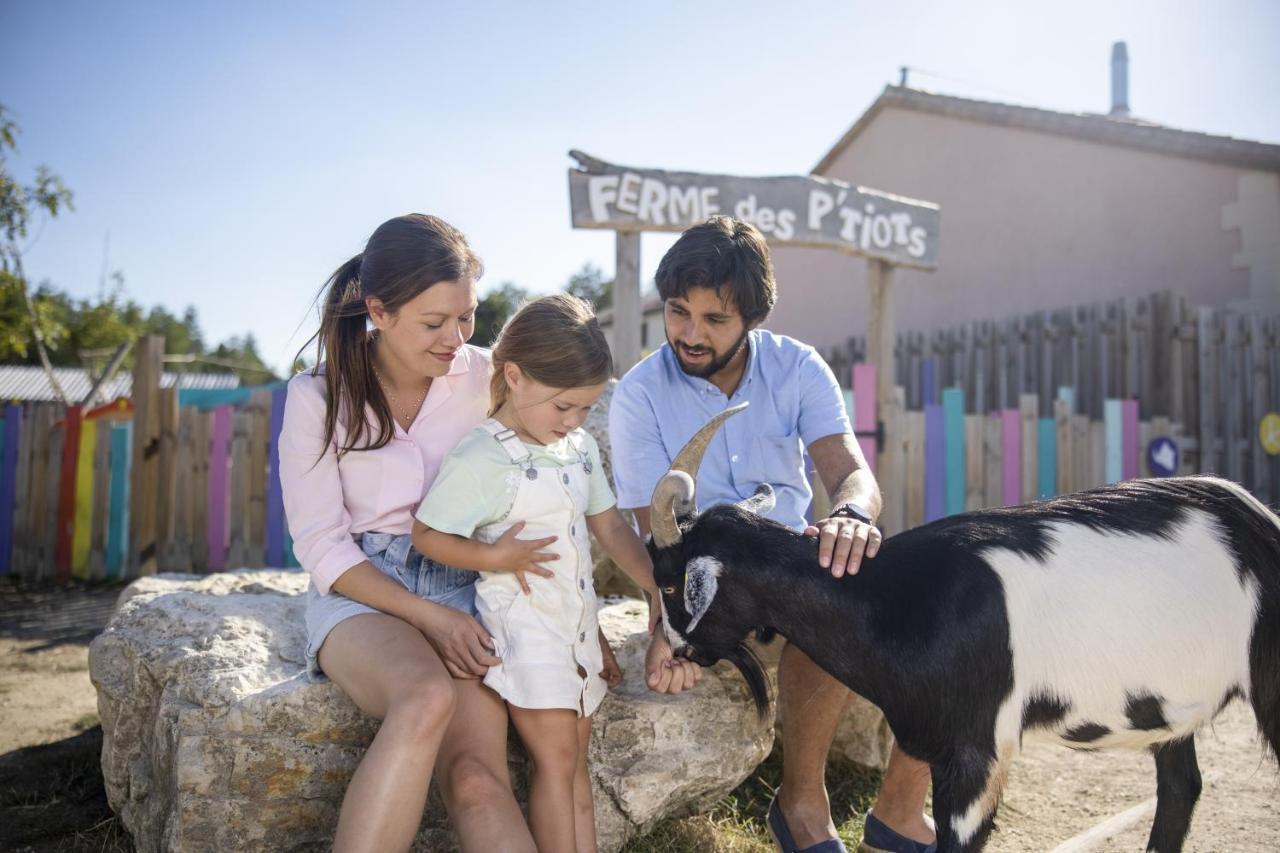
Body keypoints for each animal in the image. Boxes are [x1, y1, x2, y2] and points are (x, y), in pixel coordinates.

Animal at [650, 404, 1280, 850]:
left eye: (671, 584)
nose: (675, 652)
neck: (896, 599)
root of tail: (1258, 520)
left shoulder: (975, 757)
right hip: (1172, 710)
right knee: (1180, 792)